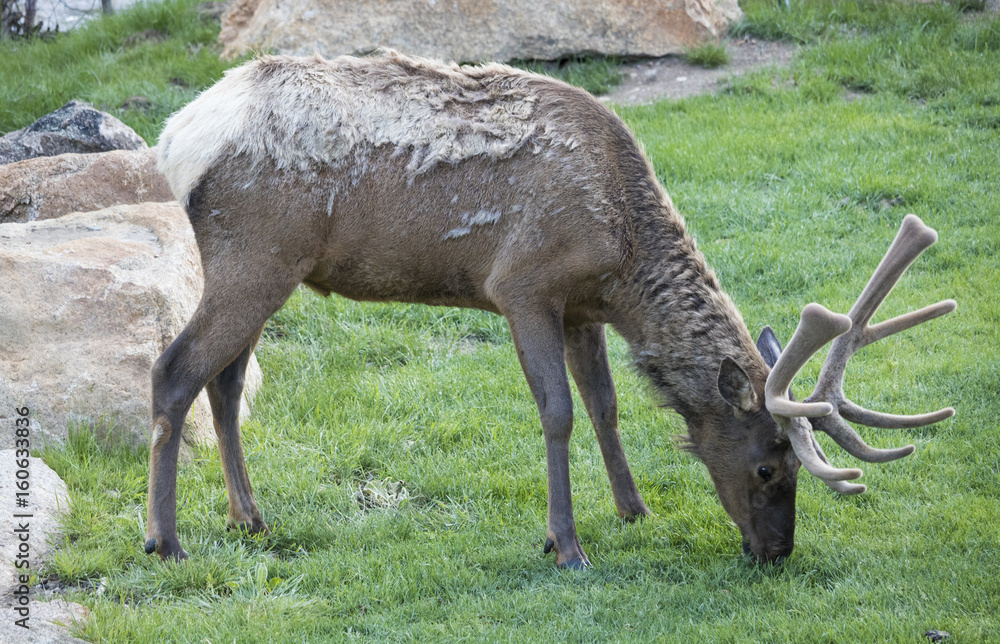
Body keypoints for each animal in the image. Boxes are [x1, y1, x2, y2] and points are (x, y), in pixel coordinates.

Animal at [148, 50, 955, 566]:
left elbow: (606, 404)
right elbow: (558, 410)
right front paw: (565, 544)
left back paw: (250, 518)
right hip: (256, 256)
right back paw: (166, 540)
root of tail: (174, 137)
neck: (622, 252)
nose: (778, 553)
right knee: (175, 371)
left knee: (226, 379)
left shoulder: (581, 306)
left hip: (273, 269)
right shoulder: (524, 284)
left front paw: (633, 509)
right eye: (766, 467)